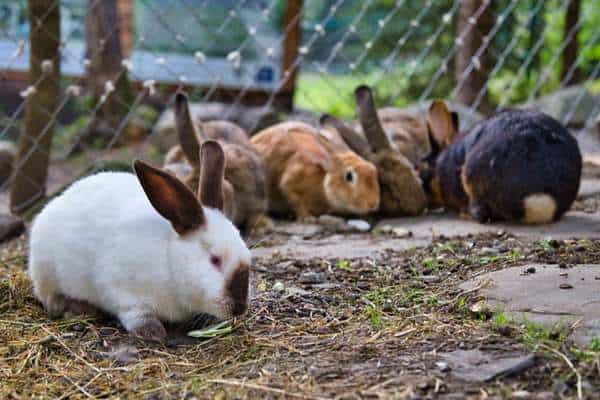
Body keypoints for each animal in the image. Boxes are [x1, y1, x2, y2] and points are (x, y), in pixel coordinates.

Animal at [29, 141, 250, 340]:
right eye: (215, 260)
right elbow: (136, 314)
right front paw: (152, 332)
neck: (169, 260)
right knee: (49, 298)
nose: (240, 308)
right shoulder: (121, 290)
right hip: (46, 271)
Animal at [248, 122, 380, 220]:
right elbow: (294, 199)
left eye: (373, 169)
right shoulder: (291, 181)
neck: (322, 182)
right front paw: (308, 218)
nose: (373, 204)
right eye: (349, 176)